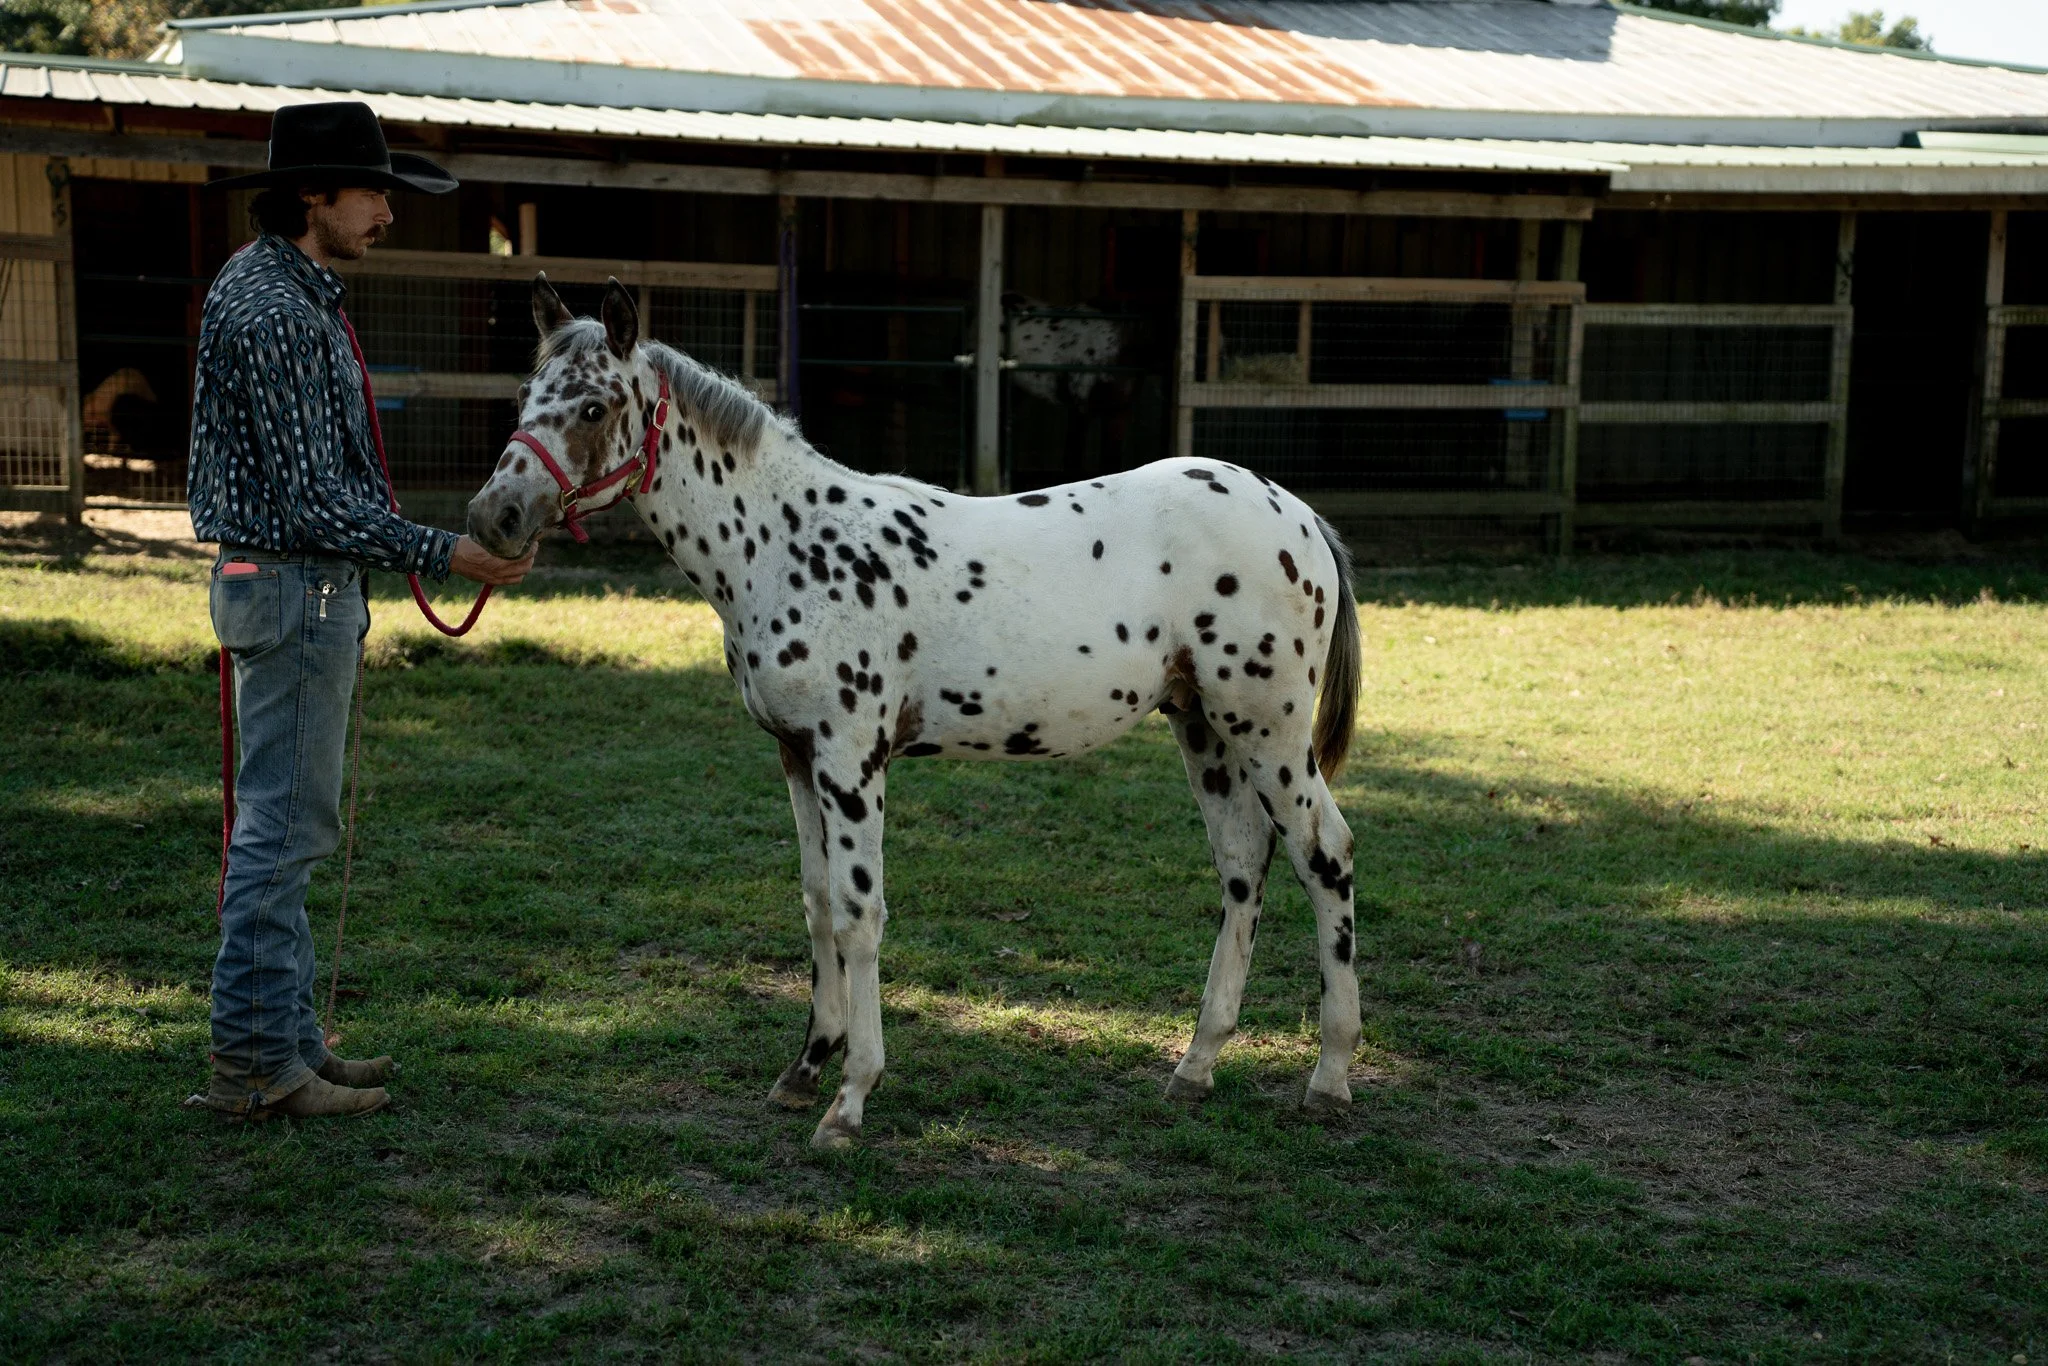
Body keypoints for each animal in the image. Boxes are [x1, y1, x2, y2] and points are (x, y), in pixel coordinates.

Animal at [465, 276, 1364, 1149]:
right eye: (525, 393)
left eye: (593, 407)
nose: (492, 518)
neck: (787, 544)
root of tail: (1301, 517)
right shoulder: (795, 754)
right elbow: (817, 902)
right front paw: (806, 1068)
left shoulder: (852, 758)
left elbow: (861, 915)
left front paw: (850, 1099)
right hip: (1202, 726)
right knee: (1244, 863)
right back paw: (1195, 1067)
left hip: (1269, 730)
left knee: (1325, 853)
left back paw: (1328, 1080)